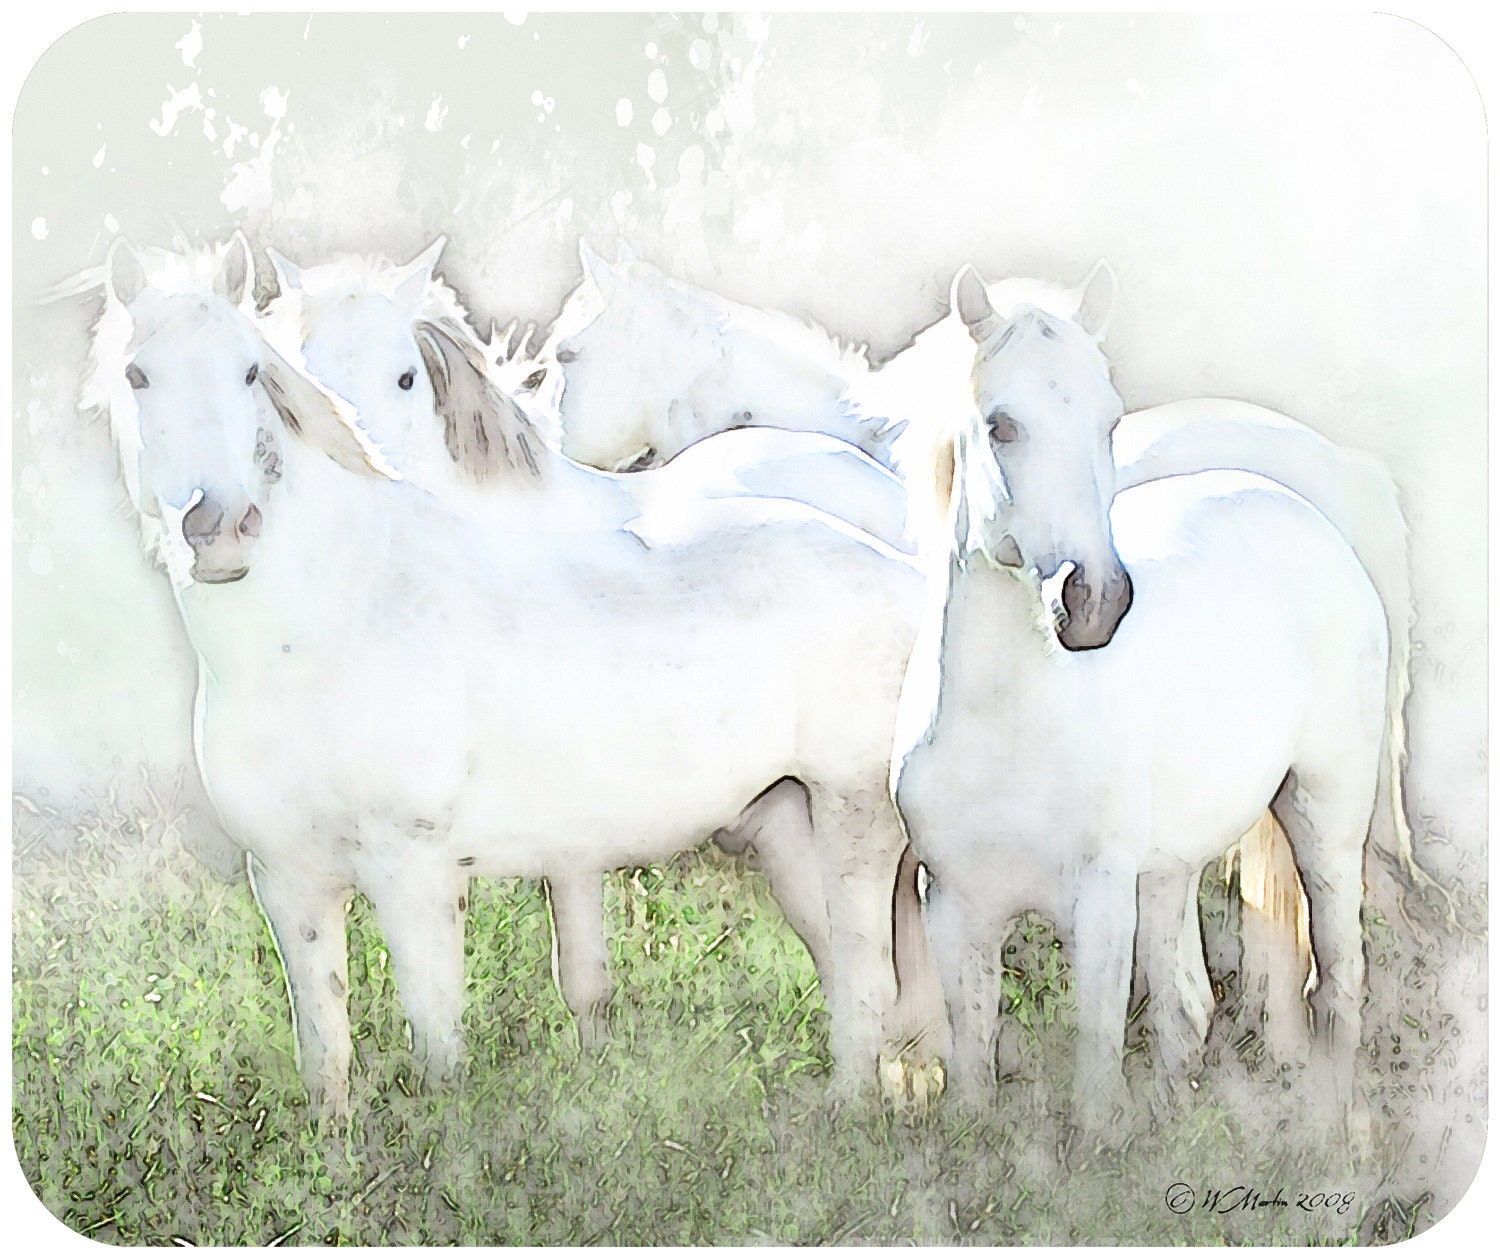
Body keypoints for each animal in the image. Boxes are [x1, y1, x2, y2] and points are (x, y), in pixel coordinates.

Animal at [82, 233, 928, 1116]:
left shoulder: (414, 875)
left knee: (869, 977)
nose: (219, 527)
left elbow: (438, 1045)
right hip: (787, 822)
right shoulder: (288, 882)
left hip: (854, 814)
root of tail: (905, 569)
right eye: (138, 375)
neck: (336, 618)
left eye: (250, 371)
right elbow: (326, 1057)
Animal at [893, 266, 1391, 1139]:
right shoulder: (952, 905)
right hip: (1169, 869)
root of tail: (1313, 520)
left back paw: (1325, 1136)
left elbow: (1095, 1068)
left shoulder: (1099, 900)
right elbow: (975, 1063)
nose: (1093, 600)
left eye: (1109, 421)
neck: (1005, 729)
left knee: (1337, 982)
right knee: (1186, 1011)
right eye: (1001, 425)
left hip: (1325, 819)